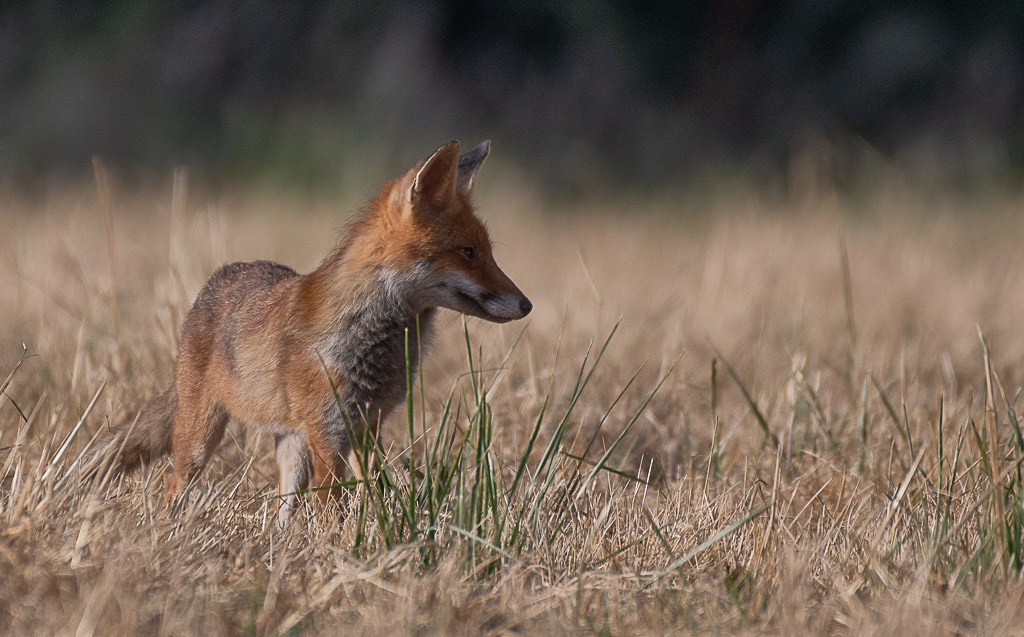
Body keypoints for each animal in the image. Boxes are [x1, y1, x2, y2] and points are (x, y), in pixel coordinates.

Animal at [87, 140, 532, 526]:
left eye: (488, 252)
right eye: (468, 253)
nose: (526, 304)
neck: (371, 339)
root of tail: (216, 282)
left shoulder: (367, 429)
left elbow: (374, 493)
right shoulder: (327, 433)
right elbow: (332, 508)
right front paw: (337, 547)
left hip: (290, 446)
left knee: (283, 508)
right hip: (201, 438)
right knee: (173, 485)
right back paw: (167, 531)